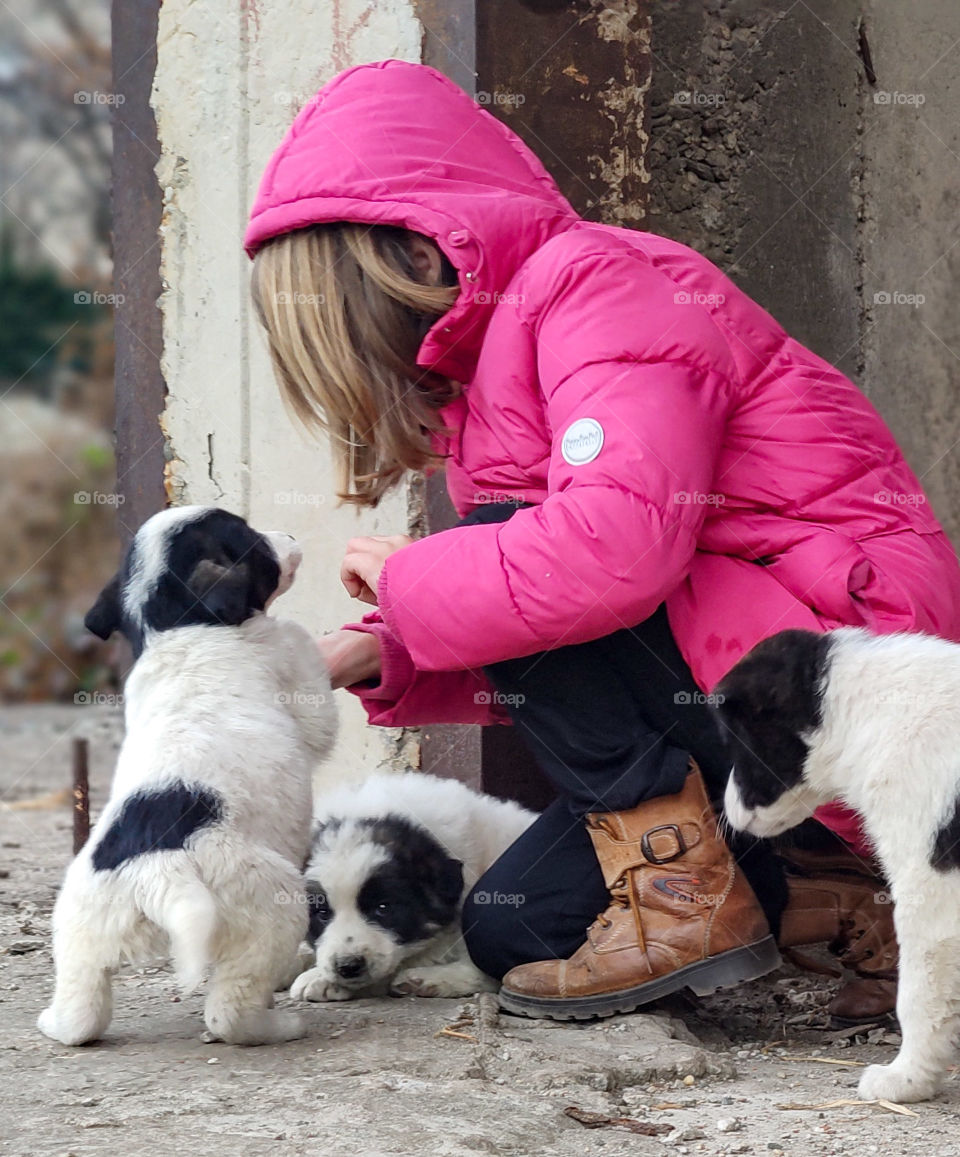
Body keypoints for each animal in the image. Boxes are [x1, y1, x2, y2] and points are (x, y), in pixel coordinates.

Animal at [36, 506, 337, 1050]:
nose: (289, 535)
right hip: (273, 908)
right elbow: (310, 684)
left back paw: (55, 1024)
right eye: (252, 539)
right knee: (229, 1010)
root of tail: (157, 870)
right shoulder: (293, 669)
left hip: (80, 932)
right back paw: (274, 1027)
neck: (174, 626)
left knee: (81, 1011)